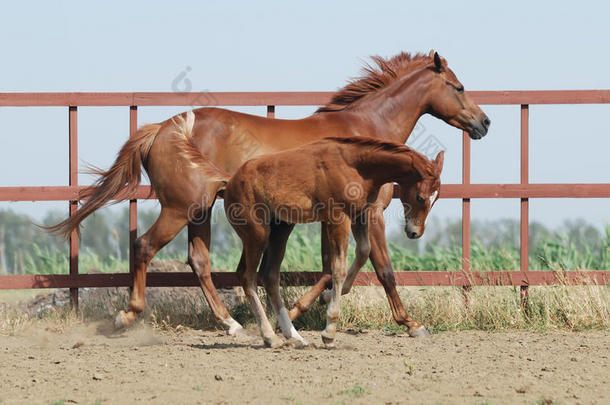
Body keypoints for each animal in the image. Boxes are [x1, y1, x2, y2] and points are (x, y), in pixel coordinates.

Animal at [221, 137, 440, 348]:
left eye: (436, 199)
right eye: (420, 197)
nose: (415, 232)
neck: (355, 167)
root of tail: (230, 183)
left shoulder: (360, 216)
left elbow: (363, 252)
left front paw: (327, 296)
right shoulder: (338, 219)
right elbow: (338, 269)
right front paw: (329, 332)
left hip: (280, 231)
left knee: (269, 275)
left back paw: (295, 337)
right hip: (257, 234)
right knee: (247, 276)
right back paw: (270, 337)